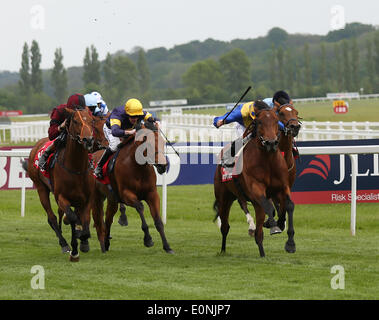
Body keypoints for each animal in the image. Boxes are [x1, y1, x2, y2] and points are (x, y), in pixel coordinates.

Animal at [23, 106, 101, 262]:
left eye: (91, 121)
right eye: (75, 121)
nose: (88, 140)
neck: (76, 168)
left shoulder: (87, 198)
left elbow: (85, 219)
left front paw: (84, 241)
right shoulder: (62, 197)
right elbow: (72, 218)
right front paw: (74, 249)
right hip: (41, 188)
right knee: (52, 217)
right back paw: (64, 244)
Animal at [90, 121, 174, 254]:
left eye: (162, 142)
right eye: (149, 144)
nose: (163, 166)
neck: (138, 168)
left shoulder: (152, 194)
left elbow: (158, 221)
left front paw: (167, 246)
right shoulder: (126, 194)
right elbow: (140, 206)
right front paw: (148, 239)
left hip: (112, 199)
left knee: (108, 218)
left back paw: (107, 242)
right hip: (96, 197)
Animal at [215, 102, 296, 258]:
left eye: (276, 120)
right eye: (259, 122)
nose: (271, 142)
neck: (268, 160)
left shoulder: (283, 187)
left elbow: (288, 206)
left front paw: (290, 243)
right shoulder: (256, 187)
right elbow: (269, 208)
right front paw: (273, 226)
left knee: (258, 229)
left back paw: (262, 250)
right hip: (224, 197)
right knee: (226, 226)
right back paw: (222, 250)